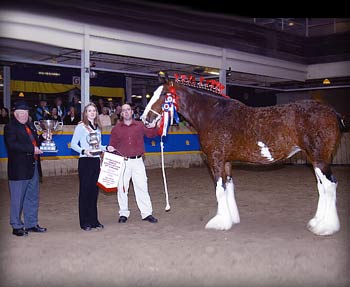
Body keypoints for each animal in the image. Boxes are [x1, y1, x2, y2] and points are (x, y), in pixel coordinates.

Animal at [142, 73, 344, 236]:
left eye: (163, 95)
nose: (145, 119)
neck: (213, 114)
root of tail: (332, 112)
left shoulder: (215, 160)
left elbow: (219, 190)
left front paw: (219, 222)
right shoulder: (226, 162)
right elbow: (228, 187)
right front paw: (230, 219)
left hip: (320, 159)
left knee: (330, 185)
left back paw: (326, 227)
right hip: (314, 160)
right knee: (322, 187)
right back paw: (317, 222)